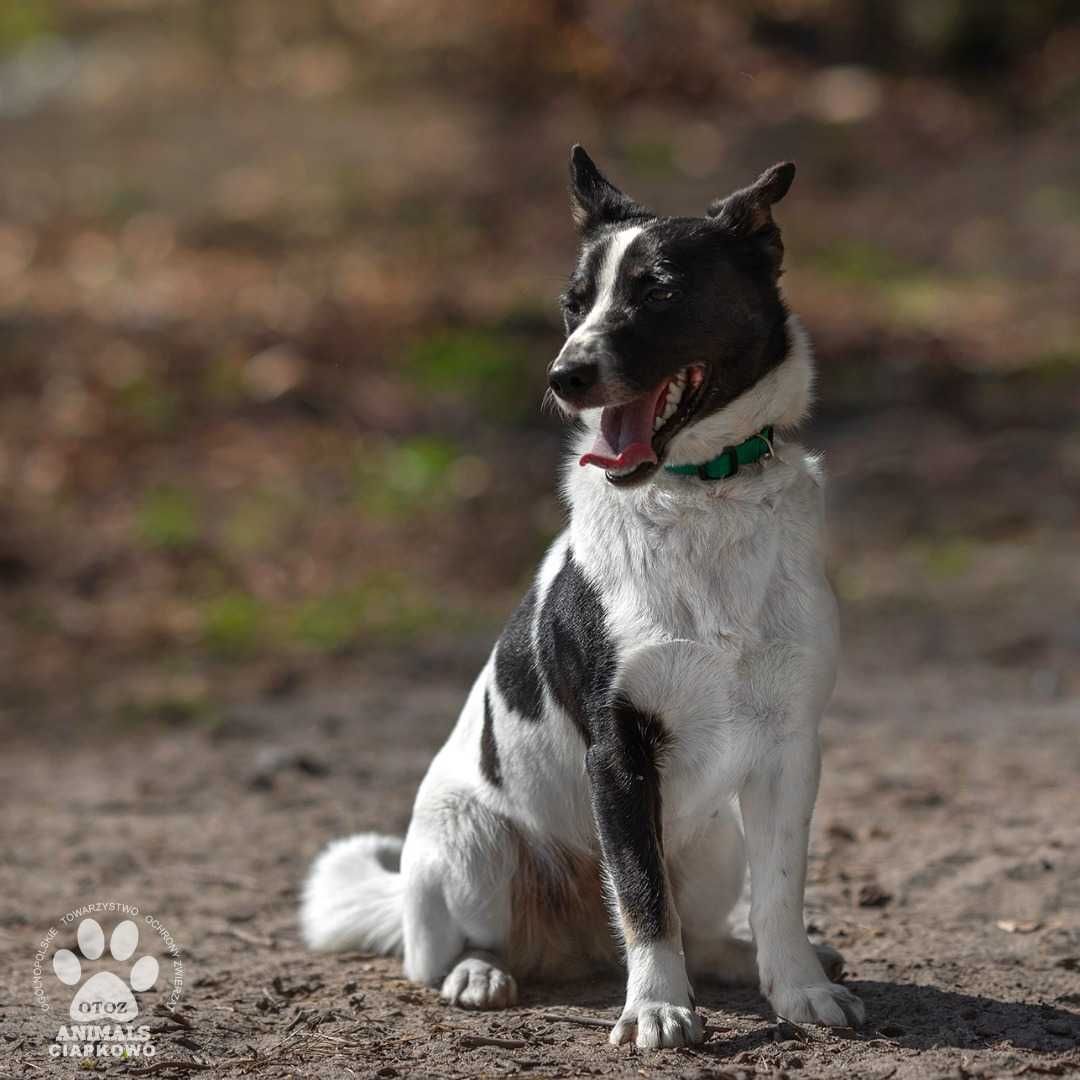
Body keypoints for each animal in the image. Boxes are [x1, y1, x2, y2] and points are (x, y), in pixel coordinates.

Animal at [302, 147, 859, 1049]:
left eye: (659, 291)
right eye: (573, 302)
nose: (564, 376)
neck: (703, 496)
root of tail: (574, 945)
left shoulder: (789, 746)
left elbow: (779, 889)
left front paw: (799, 986)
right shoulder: (616, 747)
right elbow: (639, 895)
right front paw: (658, 1008)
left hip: (712, 841)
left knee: (690, 923)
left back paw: (731, 957)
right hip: (468, 839)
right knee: (444, 950)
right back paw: (478, 973)